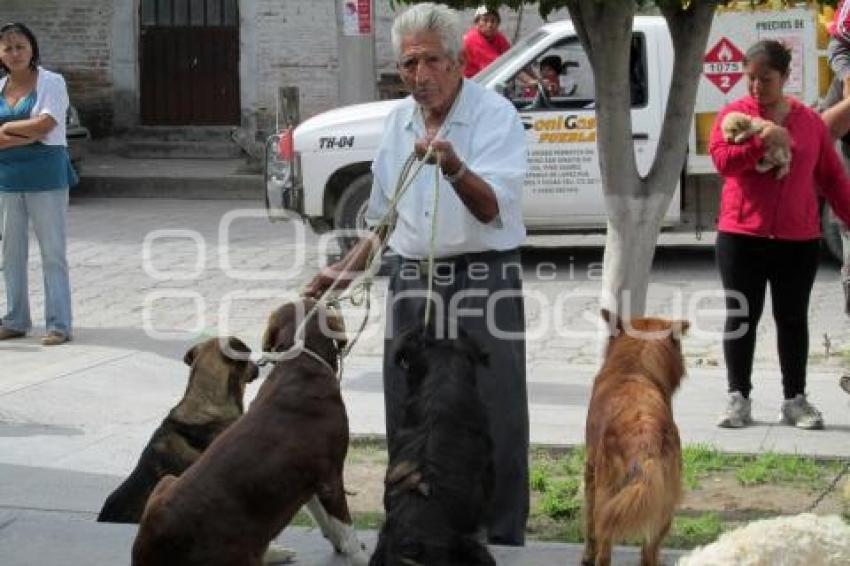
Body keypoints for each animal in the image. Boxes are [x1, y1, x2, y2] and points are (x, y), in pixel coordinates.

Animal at [133, 300, 368, 564]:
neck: (300, 362)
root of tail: (151, 548)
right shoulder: (330, 477)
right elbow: (347, 530)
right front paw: (357, 553)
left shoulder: (308, 479)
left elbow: (324, 519)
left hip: (166, 481)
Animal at [580, 312, 684, 566]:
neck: (634, 368)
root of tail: (646, 440)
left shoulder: (590, 471)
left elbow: (588, 526)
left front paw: (586, 555)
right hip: (663, 505)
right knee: (649, 553)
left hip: (607, 497)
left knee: (604, 550)